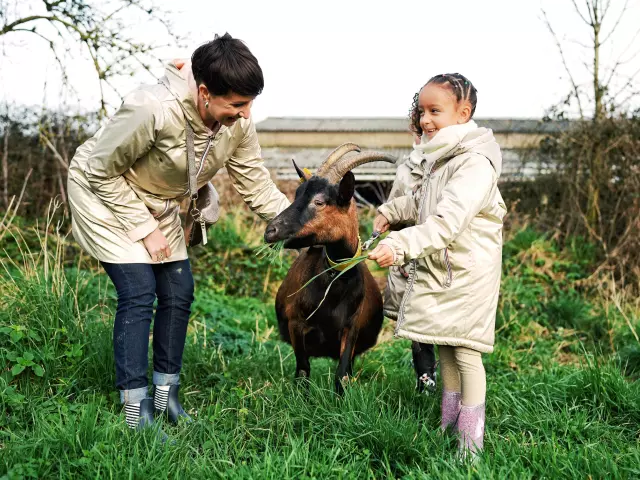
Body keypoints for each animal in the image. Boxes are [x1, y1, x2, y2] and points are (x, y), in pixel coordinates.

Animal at [264, 143, 396, 394]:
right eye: (297, 194)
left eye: (319, 201)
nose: (270, 231)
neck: (334, 285)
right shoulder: (296, 324)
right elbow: (303, 370)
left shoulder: (351, 328)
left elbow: (341, 374)